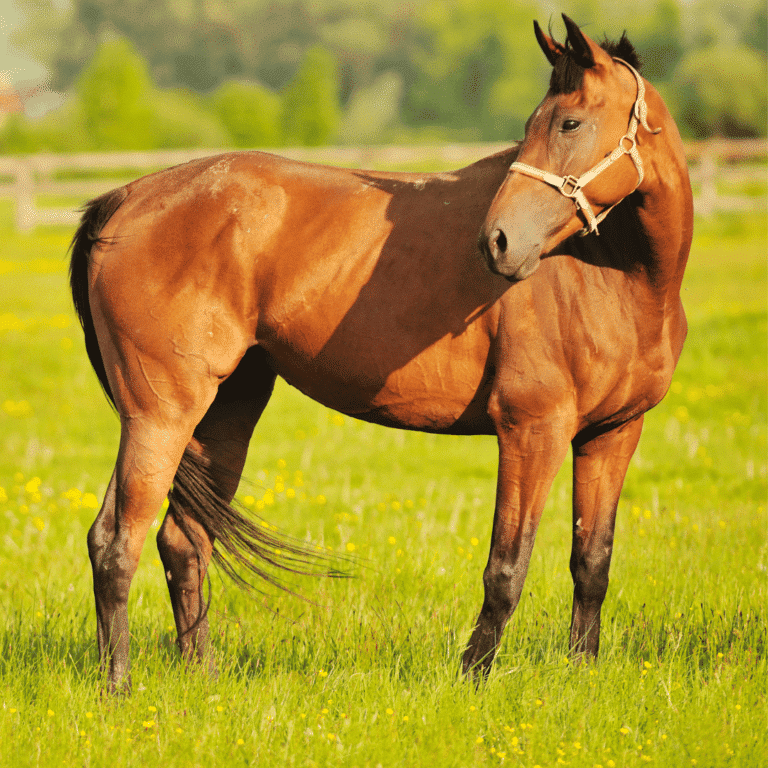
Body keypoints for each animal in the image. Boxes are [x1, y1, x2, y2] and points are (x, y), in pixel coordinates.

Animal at [67, 16, 688, 688]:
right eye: (535, 124)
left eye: (569, 123)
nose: (497, 242)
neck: (615, 275)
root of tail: (124, 201)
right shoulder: (532, 430)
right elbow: (506, 567)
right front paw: (472, 678)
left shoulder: (613, 433)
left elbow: (591, 561)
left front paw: (581, 672)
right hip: (158, 416)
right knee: (116, 541)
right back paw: (119, 686)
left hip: (223, 411)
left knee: (182, 541)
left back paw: (201, 675)